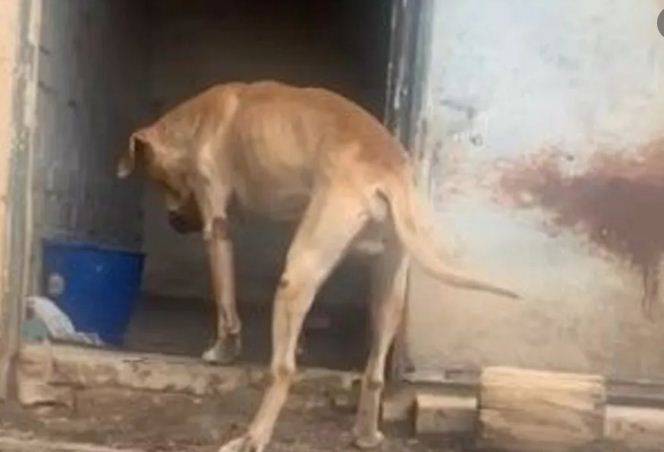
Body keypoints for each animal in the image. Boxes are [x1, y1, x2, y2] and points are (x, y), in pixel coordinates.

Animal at [117, 81, 518, 452]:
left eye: (161, 182)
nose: (174, 223)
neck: (198, 119)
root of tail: (388, 169)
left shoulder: (217, 227)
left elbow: (226, 304)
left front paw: (223, 350)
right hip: (386, 286)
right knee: (374, 372)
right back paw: (366, 433)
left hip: (298, 274)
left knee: (282, 372)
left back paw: (253, 436)